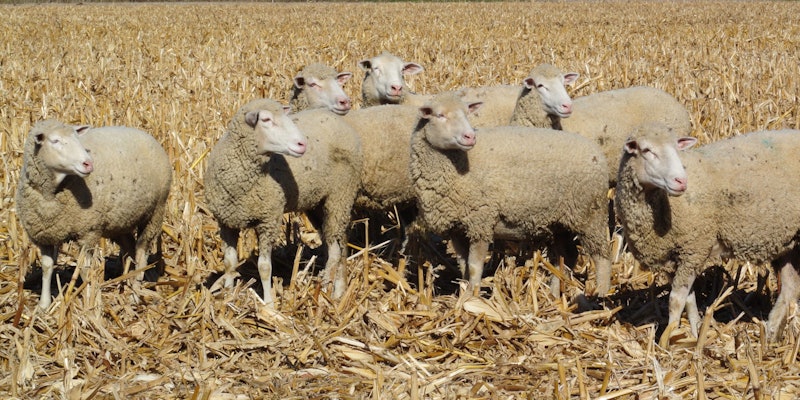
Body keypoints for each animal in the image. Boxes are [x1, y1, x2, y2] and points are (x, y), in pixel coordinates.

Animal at [16, 119, 172, 310]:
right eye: (55, 141)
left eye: (77, 138)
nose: (88, 163)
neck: (50, 195)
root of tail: (144, 134)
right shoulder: (43, 235)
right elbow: (47, 267)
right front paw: (43, 305)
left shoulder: (87, 232)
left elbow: (85, 269)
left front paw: (89, 302)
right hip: (120, 220)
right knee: (130, 248)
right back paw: (127, 281)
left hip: (155, 211)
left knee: (142, 251)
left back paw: (136, 292)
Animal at [204, 98, 362, 305]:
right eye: (266, 119)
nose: (302, 144)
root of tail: (339, 122)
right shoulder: (225, 222)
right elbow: (229, 262)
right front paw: (228, 296)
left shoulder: (268, 220)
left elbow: (264, 267)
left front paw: (269, 304)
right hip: (321, 204)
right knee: (339, 242)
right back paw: (339, 290)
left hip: (340, 195)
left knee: (335, 251)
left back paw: (326, 293)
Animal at [409, 93, 612, 295]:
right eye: (440, 115)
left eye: (467, 113)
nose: (470, 137)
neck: (457, 166)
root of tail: (598, 154)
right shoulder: (457, 228)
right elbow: (463, 265)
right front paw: (462, 294)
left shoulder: (481, 221)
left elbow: (474, 267)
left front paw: (472, 297)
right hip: (561, 221)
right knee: (567, 255)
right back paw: (554, 294)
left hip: (589, 214)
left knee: (602, 257)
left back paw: (601, 294)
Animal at [614, 122, 800, 341]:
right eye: (646, 150)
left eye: (677, 149)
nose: (681, 181)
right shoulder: (673, 258)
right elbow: (689, 300)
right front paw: (696, 335)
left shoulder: (693, 249)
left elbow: (676, 300)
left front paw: (668, 338)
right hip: (790, 244)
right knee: (789, 289)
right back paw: (771, 335)